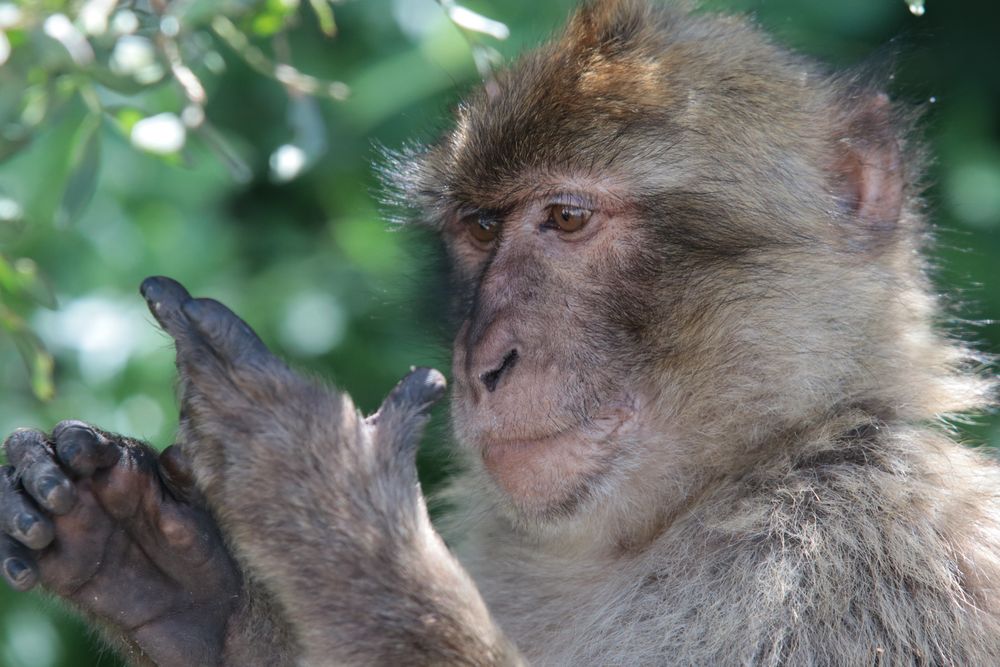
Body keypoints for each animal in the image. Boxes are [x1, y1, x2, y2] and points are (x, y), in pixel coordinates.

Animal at [1, 0, 1000, 664]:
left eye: (566, 218)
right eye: (481, 229)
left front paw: (322, 494)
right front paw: (175, 577)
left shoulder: (857, 561)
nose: (485, 361)